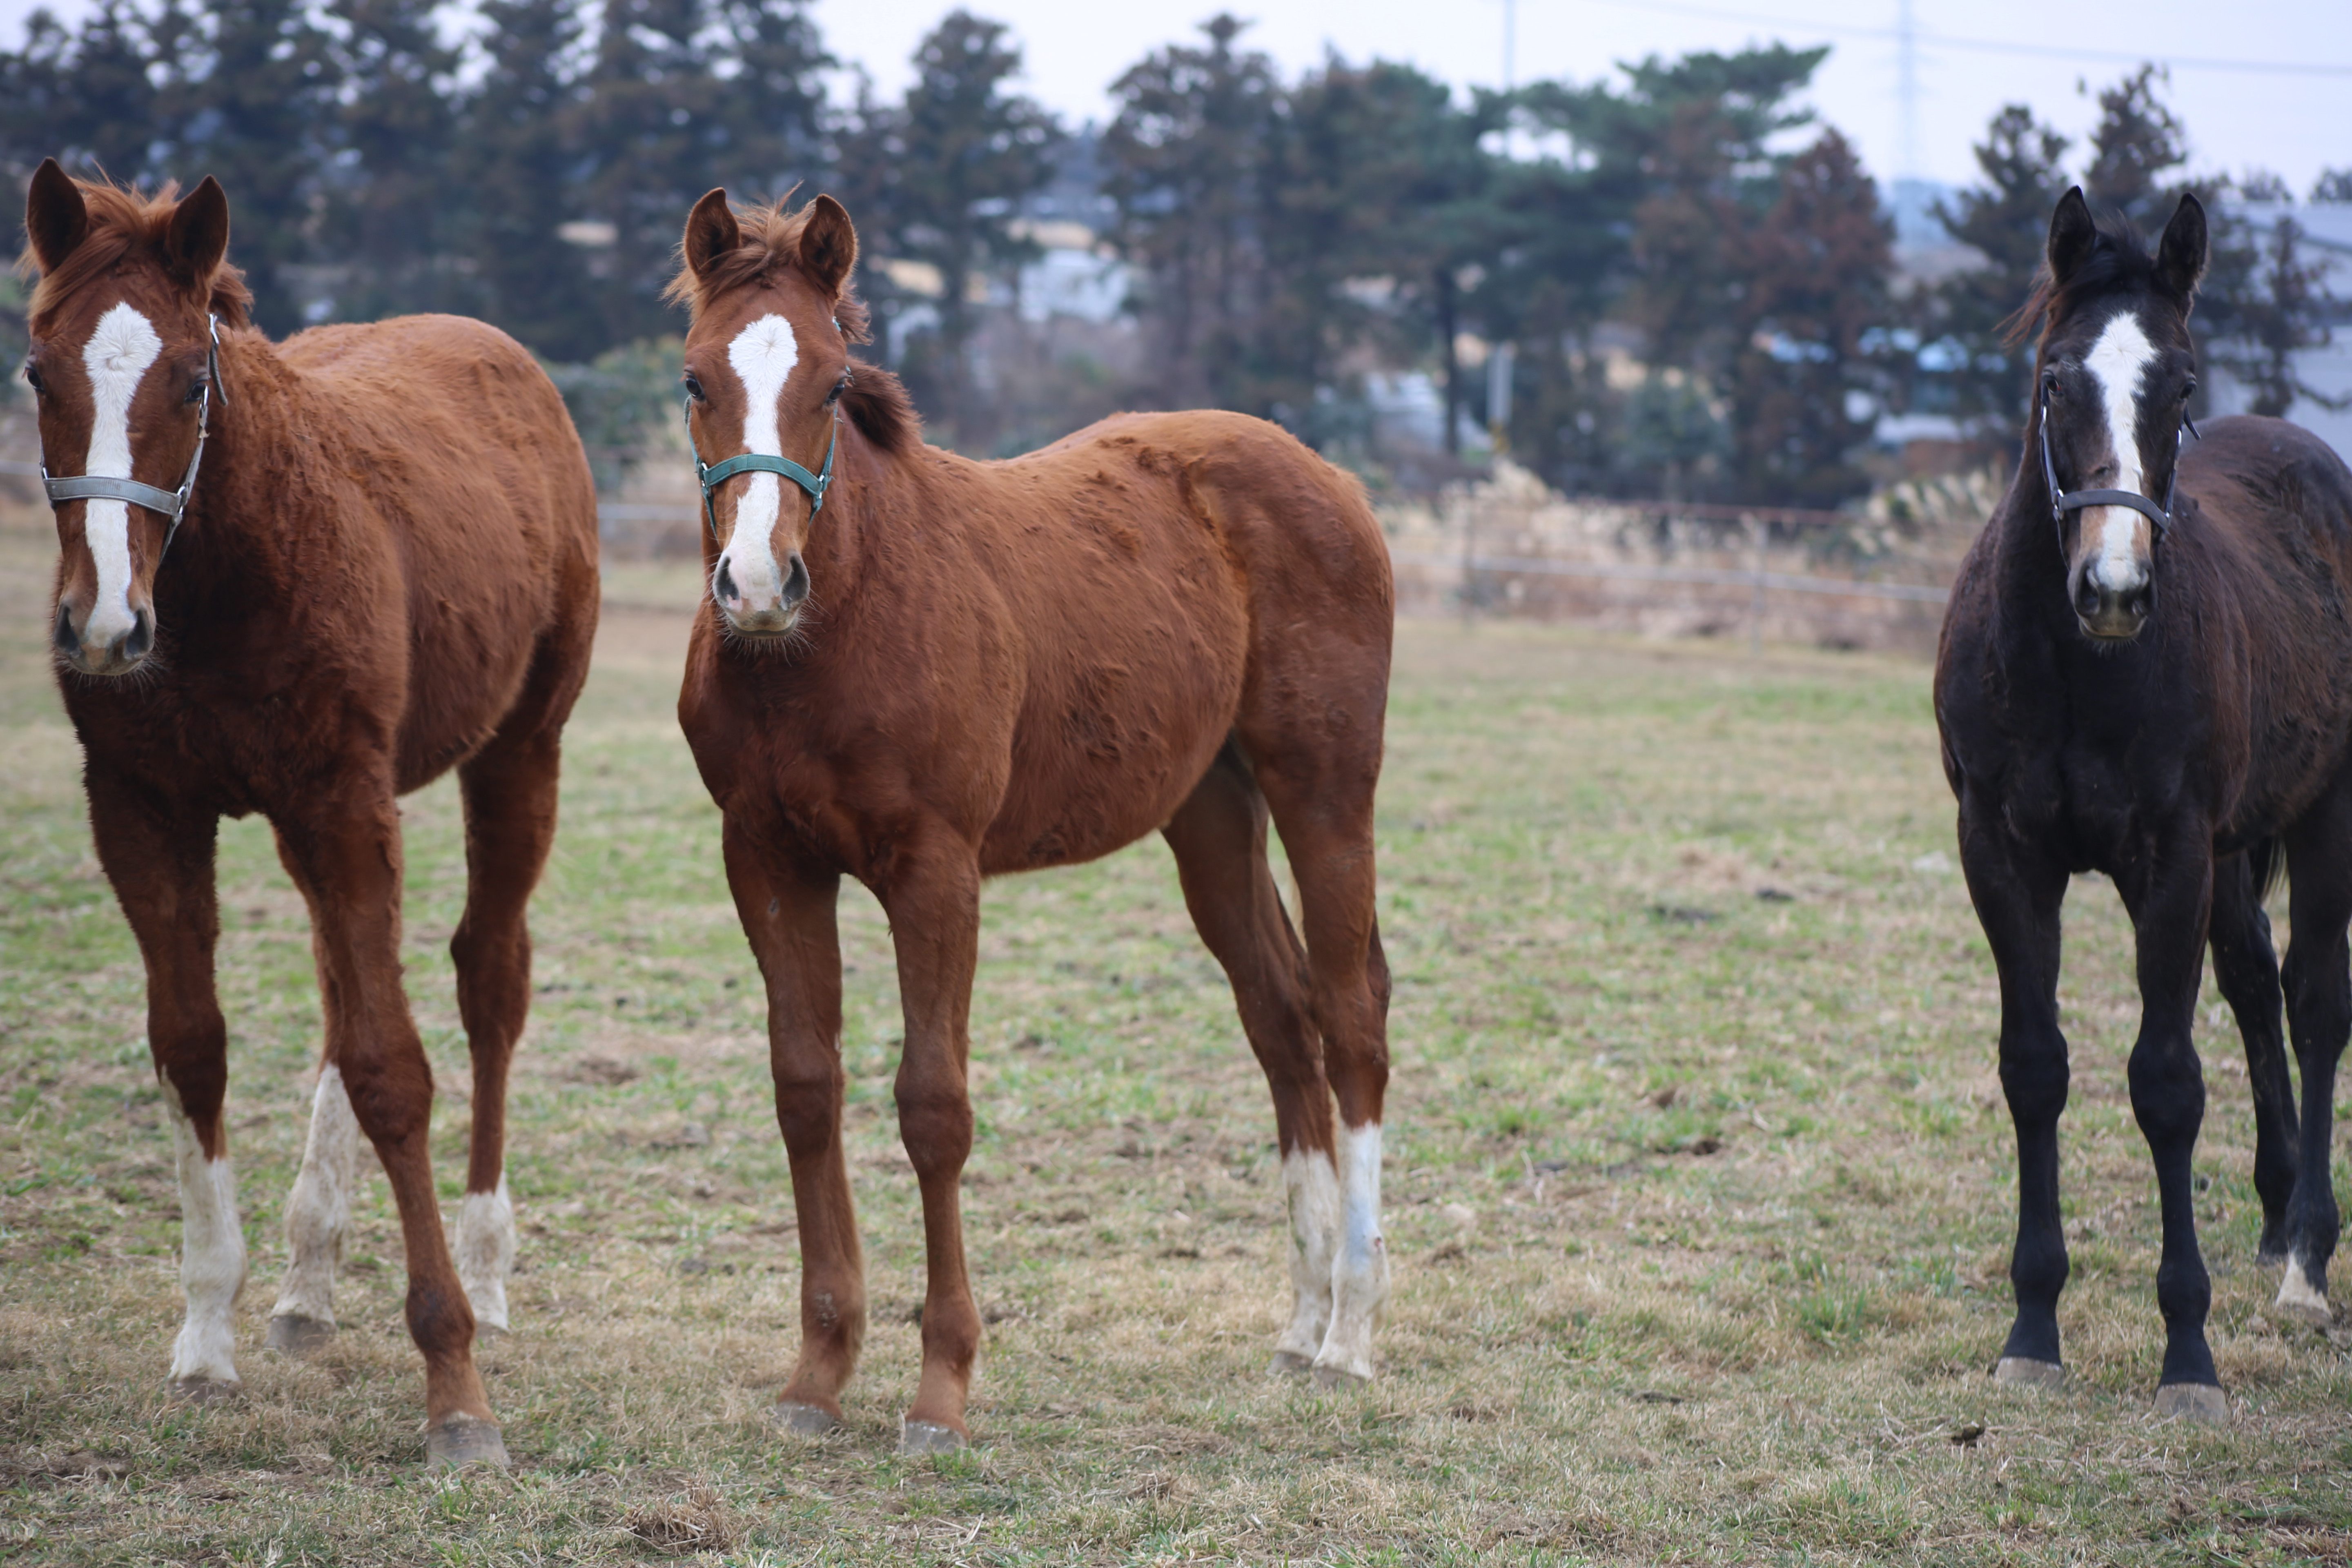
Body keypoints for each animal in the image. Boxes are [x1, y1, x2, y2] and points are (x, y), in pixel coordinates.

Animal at [24, 165, 602, 1467]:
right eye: (37, 371)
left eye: (191, 379)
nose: (102, 625)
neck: (220, 575)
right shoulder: (145, 809)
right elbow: (194, 1044)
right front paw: (206, 1335)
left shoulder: (340, 797)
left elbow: (396, 1065)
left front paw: (455, 1384)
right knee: (347, 992)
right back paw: (304, 1283)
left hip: (516, 755)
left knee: (488, 980)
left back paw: (487, 1270)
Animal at [663, 190, 1392, 1457]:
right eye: (698, 378)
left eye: (833, 383)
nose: (757, 585)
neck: (835, 634)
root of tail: (1330, 478)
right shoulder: (765, 857)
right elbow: (805, 1089)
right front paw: (818, 1374)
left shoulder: (936, 870)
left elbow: (933, 1106)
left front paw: (940, 1390)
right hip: (1213, 814)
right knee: (1280, 1016)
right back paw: (1301, 1327)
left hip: (1324, 795)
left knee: (1351, 1018)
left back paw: (1349, 1330)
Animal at [1938, 187, 2352, 1420]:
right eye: (2053, 380)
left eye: (2178, 385)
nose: (2112, 588)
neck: (2075, 669)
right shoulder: (2000, 853)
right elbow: (2033, 1067)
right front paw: (2032, 1328)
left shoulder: (2168, 857)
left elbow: (2166, 1085)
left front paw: (2188, 1353)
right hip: (2234, 854)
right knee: (2256, 986)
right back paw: (2270, 1216)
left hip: (2321, 813)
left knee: (2314, 1003)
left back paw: (2305, 1258)